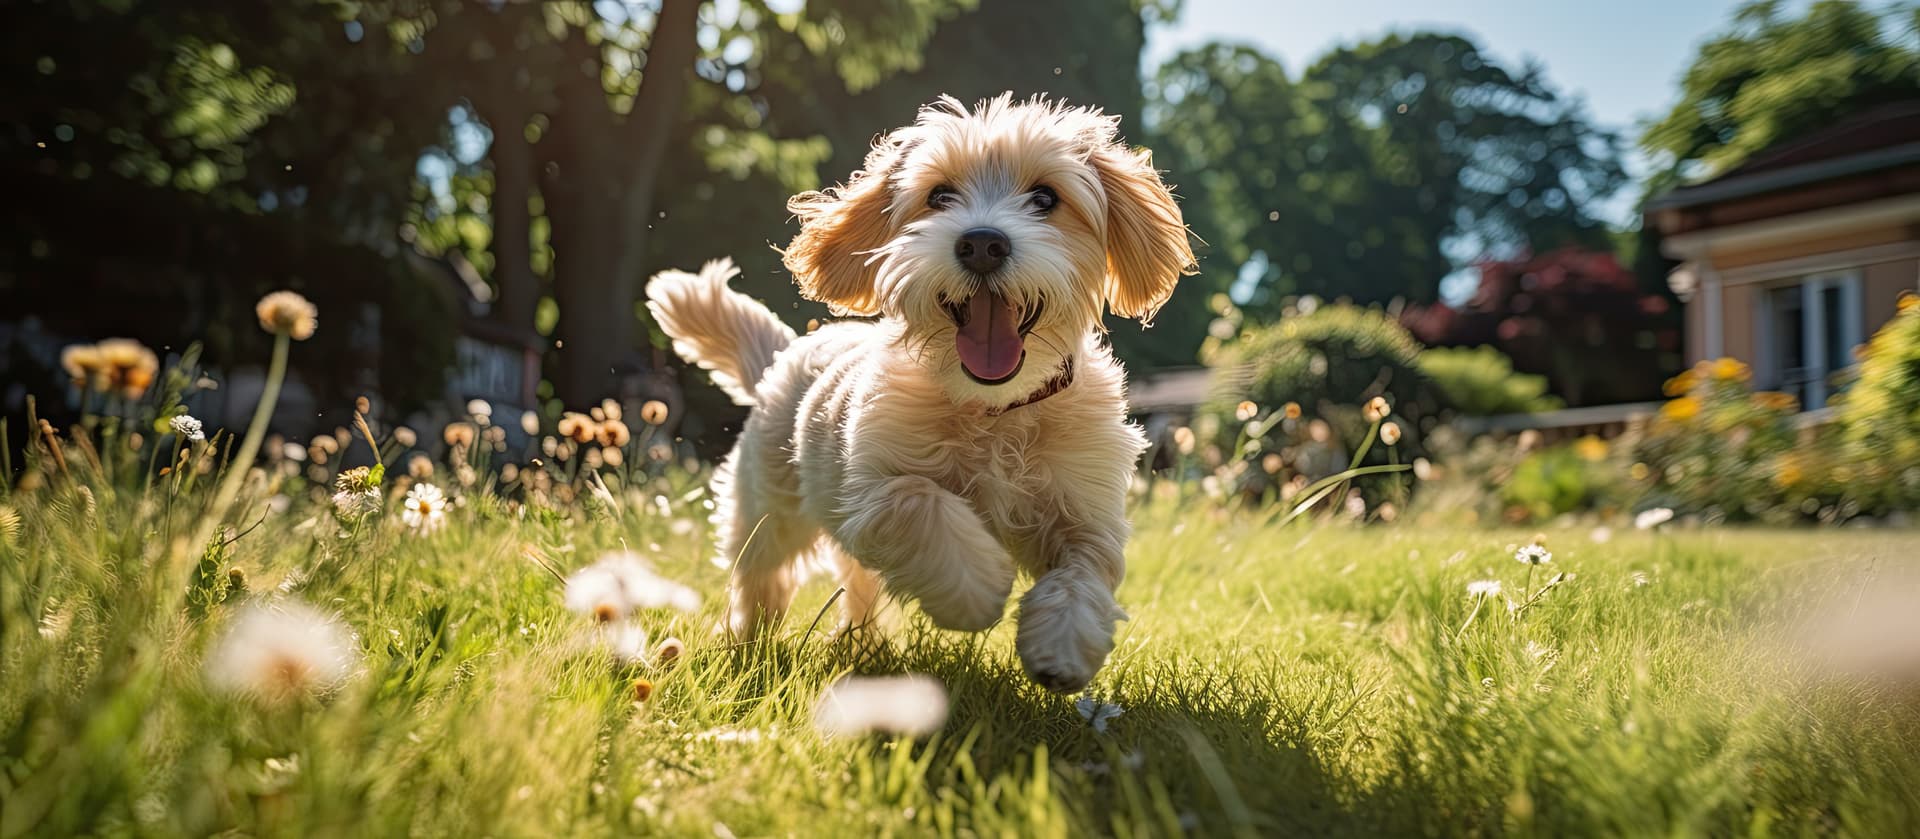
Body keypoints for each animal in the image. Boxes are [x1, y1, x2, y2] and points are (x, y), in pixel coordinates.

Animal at [645, 93, 1182, 695]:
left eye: (1046, 197)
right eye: (939, 195)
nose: (982, 243)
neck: (994, 410)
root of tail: (784, 353)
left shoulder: (1085, 510)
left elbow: (1083, 572)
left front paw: (1062, 645)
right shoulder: (870, 493)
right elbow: (924, 503)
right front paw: (979, 591)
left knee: (857, 586)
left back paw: (861, 646)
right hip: (769, 514)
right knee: (762, 579)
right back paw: (748, 648)